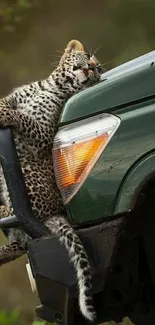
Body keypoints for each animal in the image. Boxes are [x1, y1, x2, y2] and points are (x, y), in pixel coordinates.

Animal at [0, 39, 103, 320]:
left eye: (98, 69)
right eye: (87, 56)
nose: (91, 68)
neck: (52, 86)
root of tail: (56, 211)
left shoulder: (43, 133)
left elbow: (23, 118)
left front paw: (6, 117)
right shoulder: (15, 96)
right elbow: (4, 101)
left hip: (27, 182)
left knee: (20, 233)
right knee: (17, 244)